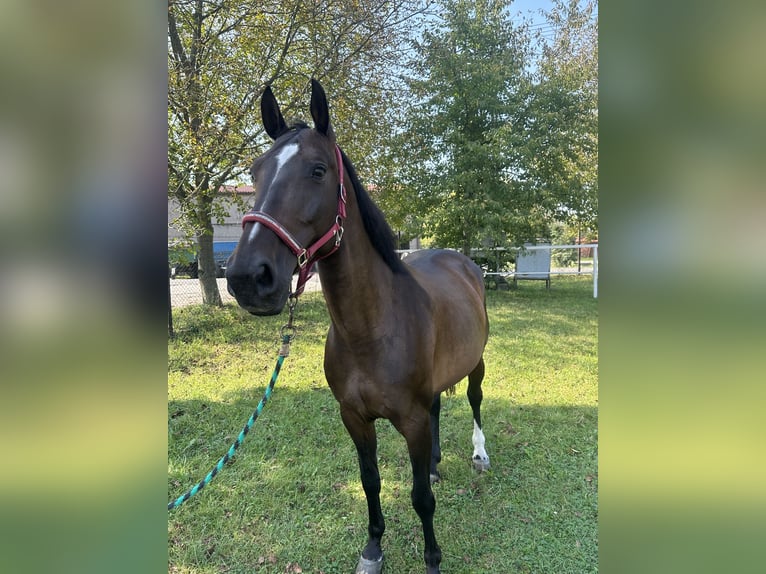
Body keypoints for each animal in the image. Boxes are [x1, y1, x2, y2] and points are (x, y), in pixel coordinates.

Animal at [226, 81, 492, 574]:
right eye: (254, 171)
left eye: (318, 170)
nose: (247, 277)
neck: (372, 330)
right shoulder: (354, 417)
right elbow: (371, 482)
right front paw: (372, 549)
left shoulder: (410, 421)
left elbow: (420, 499)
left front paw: (432, 558)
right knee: (438, 409)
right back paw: (435, 464)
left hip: (477, 362)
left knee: (475, 399)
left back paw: (479, 454)